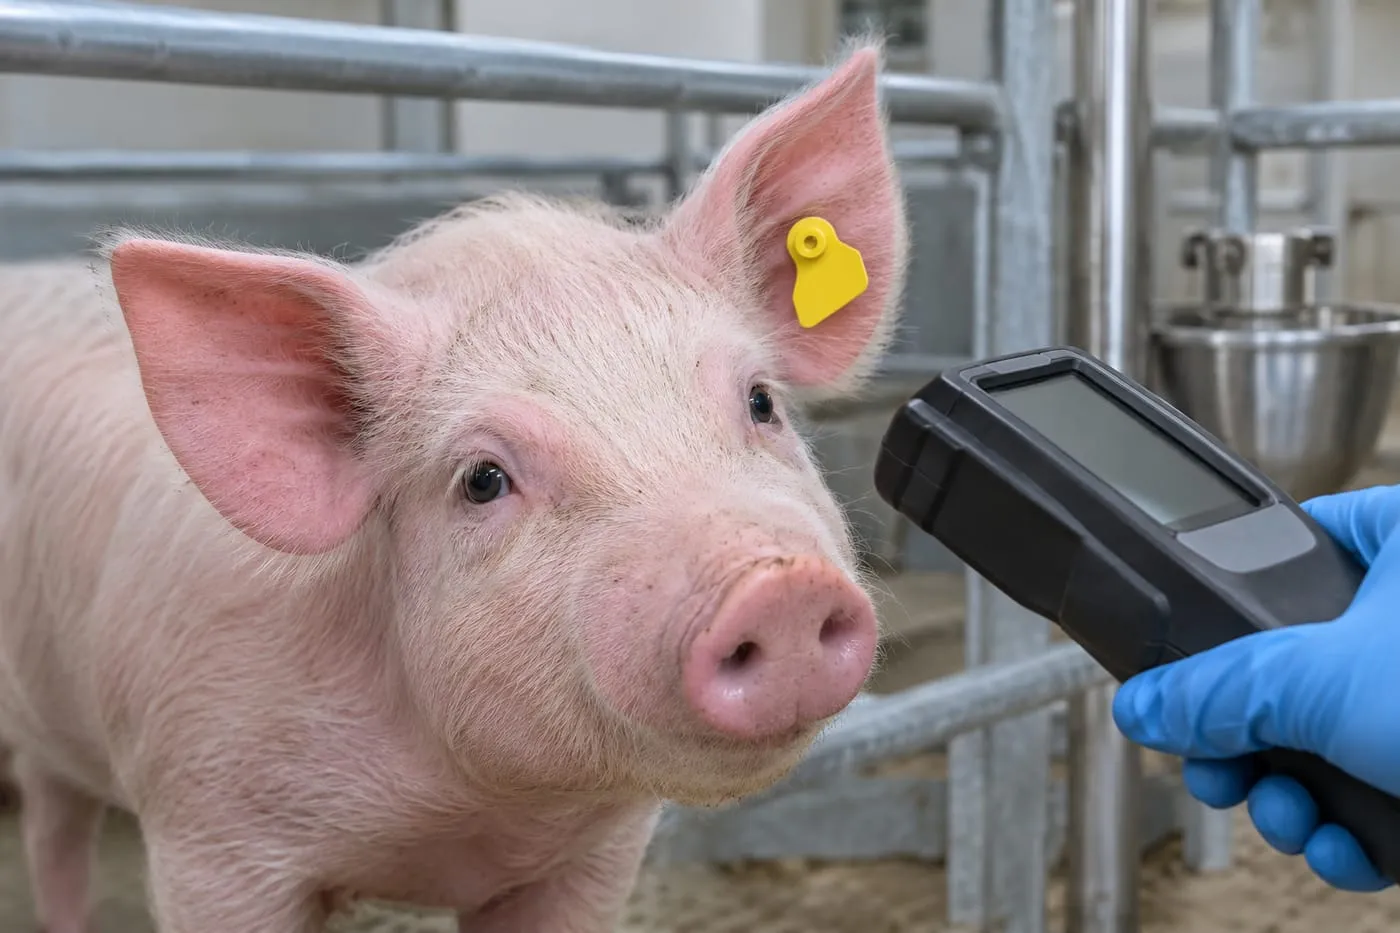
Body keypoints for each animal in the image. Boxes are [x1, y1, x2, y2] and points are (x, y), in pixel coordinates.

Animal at [0, 42, 908, 933]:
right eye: (483, 479)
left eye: (761, 402)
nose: (779, 587)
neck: (463, 814)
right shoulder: (206, 829)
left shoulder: (594, 854)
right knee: (53, 829)